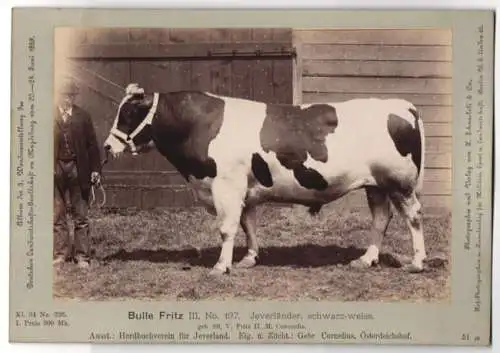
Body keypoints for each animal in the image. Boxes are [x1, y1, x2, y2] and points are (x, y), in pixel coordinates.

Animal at [103, 83, 428, 276]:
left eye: (128, 113)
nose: (106, 146)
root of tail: (403, 105)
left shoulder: (227, 186)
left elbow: (227, 228)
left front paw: (221, 266)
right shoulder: (244, 190)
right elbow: (249, 224)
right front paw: (249, 258)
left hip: (400, 183)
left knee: (413, 217)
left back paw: (417, 262)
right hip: (376, 185)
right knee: (380, 219)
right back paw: (366, 259)